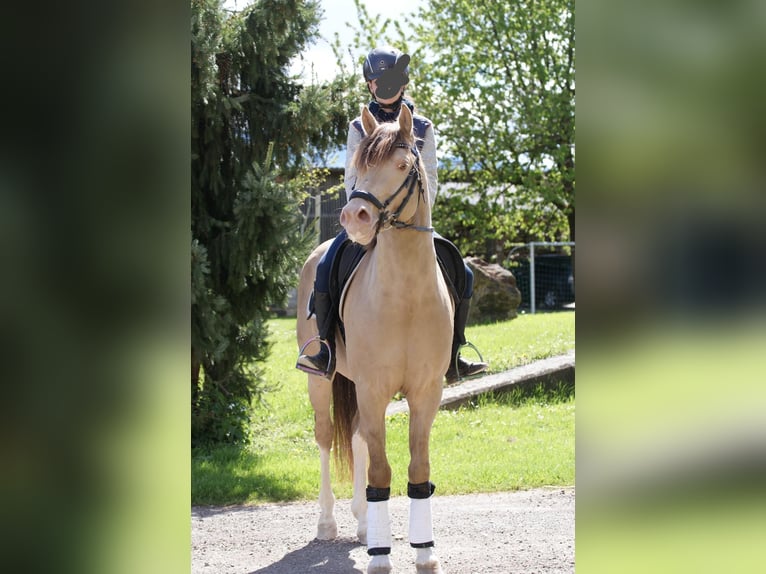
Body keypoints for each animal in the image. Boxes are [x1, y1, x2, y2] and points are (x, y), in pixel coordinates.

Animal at [296, 104, 456, 574]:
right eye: (360, 165)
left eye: (403, 165)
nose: (355, 219)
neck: (405, 294)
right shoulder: (372, 388)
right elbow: (381, 472)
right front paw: (381, 558)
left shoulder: (426, 392)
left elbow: (418, 469)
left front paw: (424, 552)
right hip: (320, 381)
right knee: (326, 437)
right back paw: (328, 523)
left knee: (358, 439)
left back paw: (365, 527)